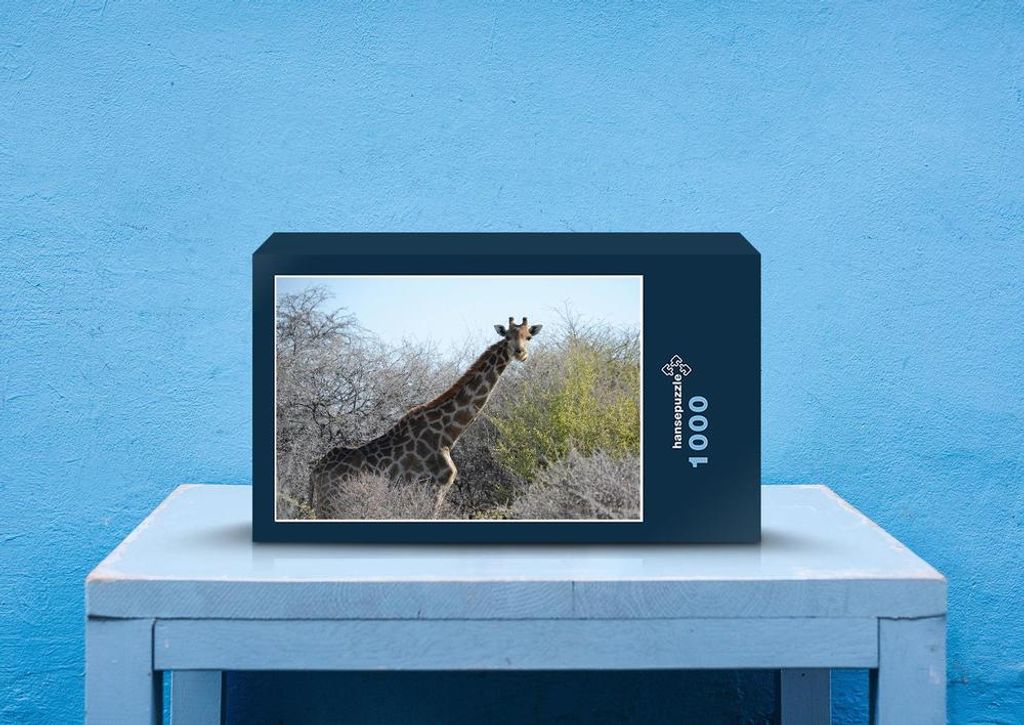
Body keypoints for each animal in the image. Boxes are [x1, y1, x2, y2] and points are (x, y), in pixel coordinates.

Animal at [310, 316, 543, 519]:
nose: (520, 353)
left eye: (528, 337)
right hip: (331, 503)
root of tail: (315, 472)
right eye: (508, 337)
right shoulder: (434, 487)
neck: (448, 434)